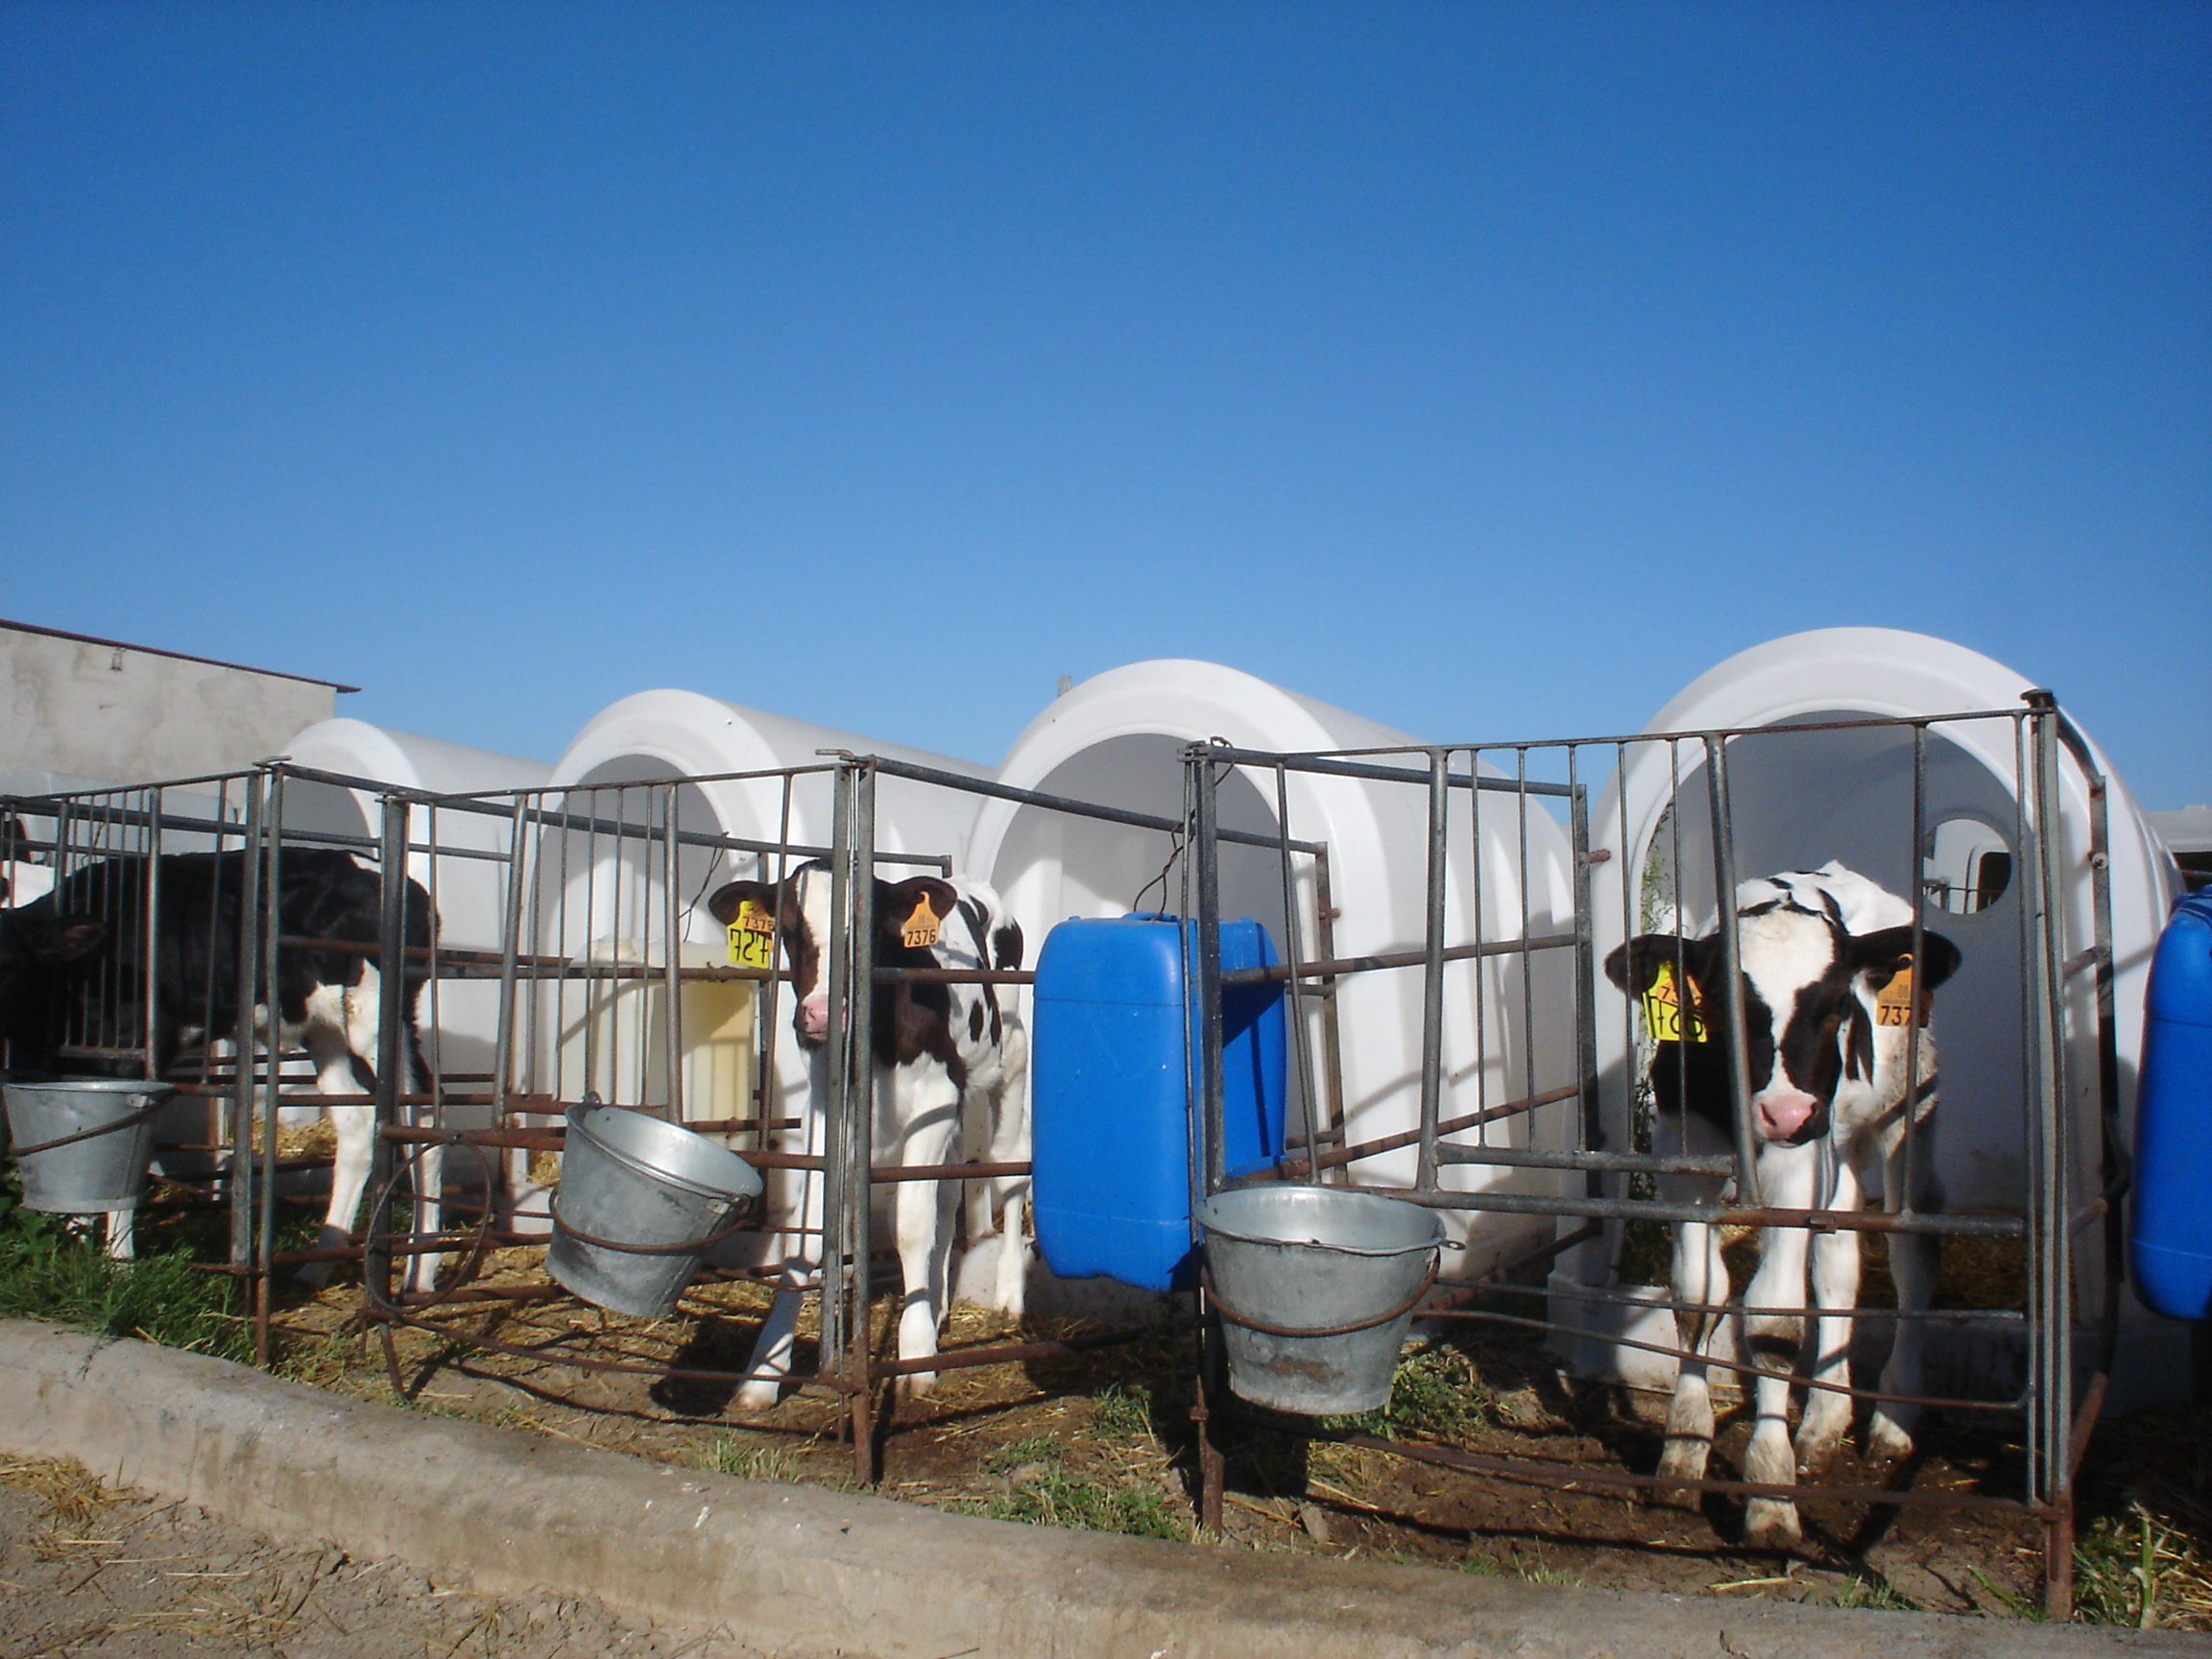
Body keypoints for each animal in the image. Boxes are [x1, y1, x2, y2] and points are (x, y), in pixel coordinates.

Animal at [0, 849, 446, 1294]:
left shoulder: (135, 1050)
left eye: (12, 966)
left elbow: (123, 1152)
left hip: (379, 1015)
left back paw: (421, 1272)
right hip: (323, 1028)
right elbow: (76, 1144)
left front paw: (119, 1265)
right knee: (358, 1121)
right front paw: (74, 1240)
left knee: (422, 1114)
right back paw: (317, 1266)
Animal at [704, 859, 1028, 1410]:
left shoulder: (934, 1096)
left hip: (1010, 1062)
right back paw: (936, 1303)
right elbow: (809, 1234)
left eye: (872, 930)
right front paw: (764, 1371)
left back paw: (1008, 1292)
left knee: (1008, 1174)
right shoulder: (823, 1107)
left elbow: (912, 1225)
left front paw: (915, 1356)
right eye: (789, 930)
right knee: (947, 1197)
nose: (819, 1014)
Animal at [1603, 861, 1960, 1548]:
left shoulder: (1798, 1168)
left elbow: (1772, 1317)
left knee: (1912, 1257)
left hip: (1908, 1117)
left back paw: (1892, 1421)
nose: (1787, 1113)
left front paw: (1770, 1492)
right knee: (1840, 1261)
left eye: (1839, 1006)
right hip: (1836, 1151)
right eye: (1725, 1005)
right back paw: (1823, 1420)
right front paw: (1684, 1450)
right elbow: (1697, 1296)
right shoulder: (1682, 1154)